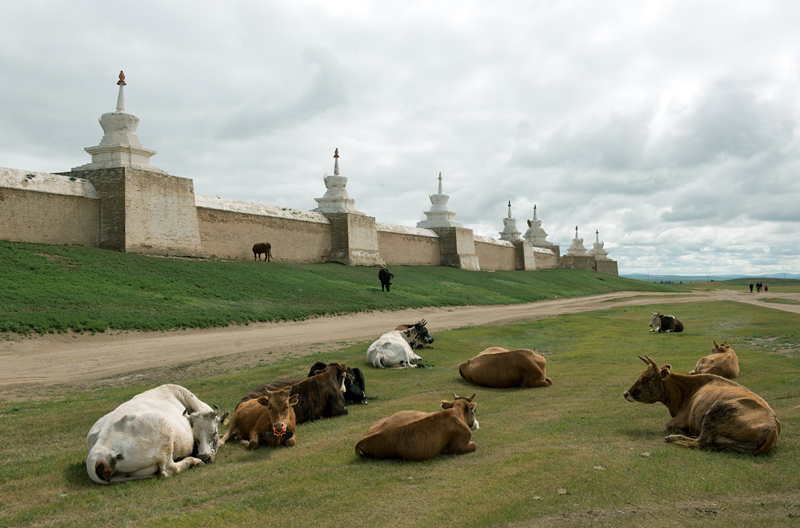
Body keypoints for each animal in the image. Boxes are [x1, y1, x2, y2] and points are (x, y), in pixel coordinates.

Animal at [86, 382, 227, 484]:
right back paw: (193, 461)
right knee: (169, 469)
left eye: (214, 433)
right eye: (195, 437)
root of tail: (98, 450)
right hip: (163, 431)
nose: (204, 457)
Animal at [620, 354, 780, 454]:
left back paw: (675, 438)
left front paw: (679, 432)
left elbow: (668, 424)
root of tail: (772, 427)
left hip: (716, 410)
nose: (626, 393)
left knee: (700, 442)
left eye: (647, 378)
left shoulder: (682, 418)